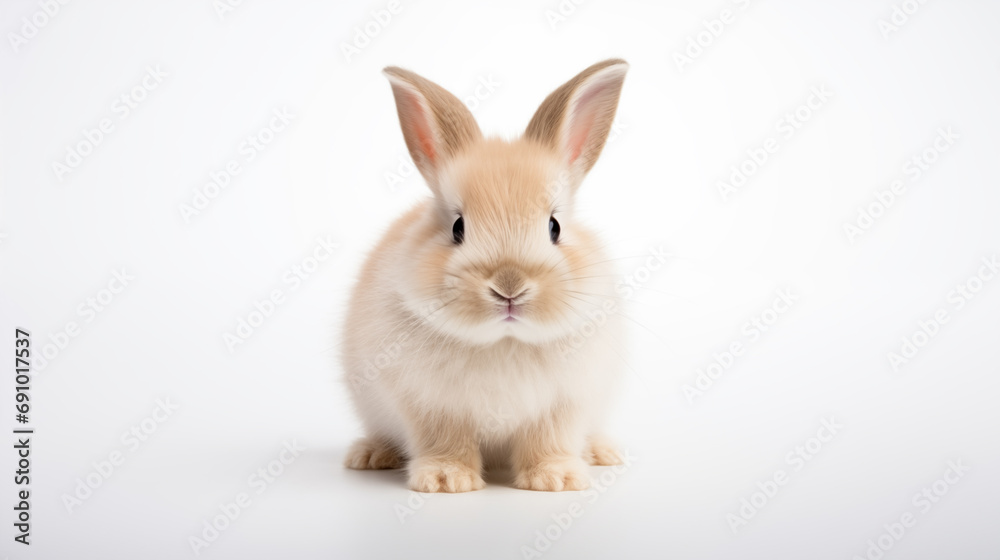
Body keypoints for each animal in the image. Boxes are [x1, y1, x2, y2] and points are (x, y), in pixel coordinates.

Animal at [342, 59, 629, 492]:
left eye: (555, 227)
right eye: (457, 227)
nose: (509, 287)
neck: (503, 341)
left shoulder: (563, 406)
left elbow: (549, 441)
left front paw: (556, 479)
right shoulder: (432, 407)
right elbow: (445, 441)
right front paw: (446, 480)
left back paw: (602, 453)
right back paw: (370, 455)